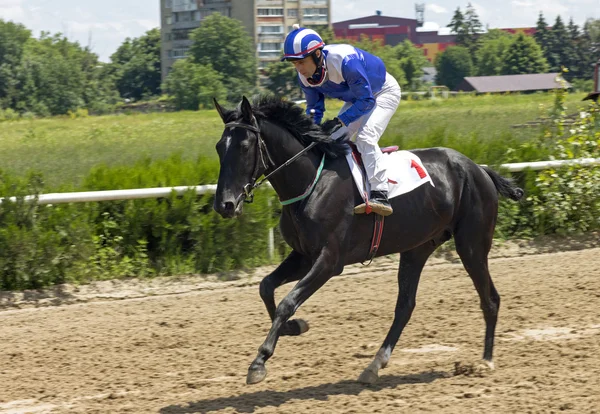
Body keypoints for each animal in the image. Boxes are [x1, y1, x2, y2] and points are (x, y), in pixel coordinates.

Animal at [213, 95, 524, 386]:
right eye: (219, 147)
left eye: (244, 147)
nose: (225, 205)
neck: (311, 182)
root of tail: (479, 169)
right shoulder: (303, 256)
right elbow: (266, 287)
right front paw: (296, 326)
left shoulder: (329, 260)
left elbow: (287, 302)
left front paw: (259, 362)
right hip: (416, 248)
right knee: (405, 306)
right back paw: (374, 365)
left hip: (471, 244)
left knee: (490, 299)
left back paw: (485, 361)